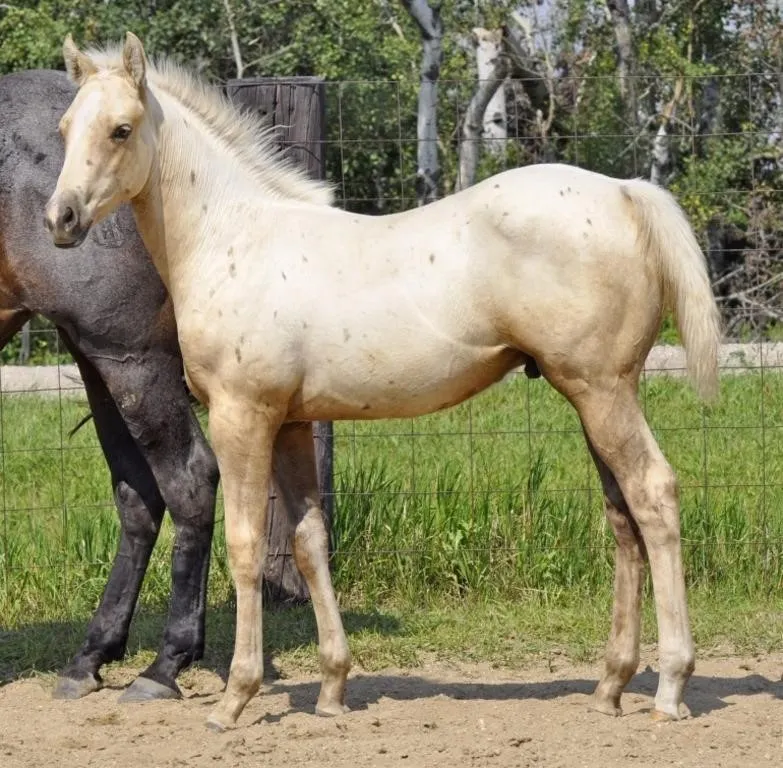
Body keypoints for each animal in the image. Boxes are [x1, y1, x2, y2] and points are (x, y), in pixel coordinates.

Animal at [0, 68, 220, 702]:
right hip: (98, 362)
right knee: (139, 495)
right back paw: (91, 656)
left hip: (128, 356)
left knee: (190, 479)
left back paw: (166, 664)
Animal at [45, 33, 722, 731]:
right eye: (66, 127)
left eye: (122, 129)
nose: (60, 218)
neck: (233, 239)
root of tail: (626, 192)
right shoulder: (291, 423)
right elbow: (309, 542)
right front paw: (332, 688)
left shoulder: (243, 416)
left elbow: (246, 545)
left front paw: (235, 696)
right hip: (594, 397)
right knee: (622, 516)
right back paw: (611, 685)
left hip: (602, 390)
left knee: (653, 494)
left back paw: (670, 687)